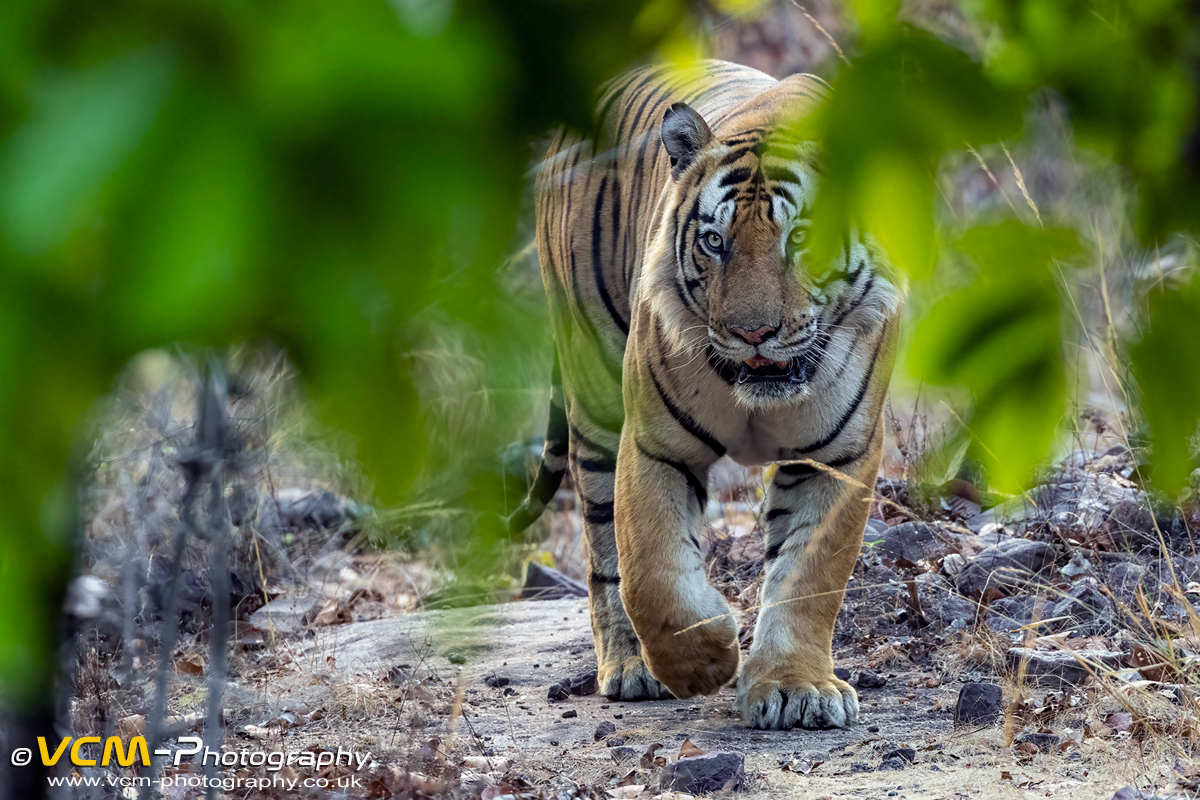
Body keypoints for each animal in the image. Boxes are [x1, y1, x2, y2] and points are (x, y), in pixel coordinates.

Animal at [507, 59, 904, 730]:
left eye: (802, 239)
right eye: (715, 242)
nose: (753, 332)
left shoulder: (839, 456)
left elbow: (808, 576)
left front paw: (796, 687)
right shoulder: (654, 444)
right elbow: (652, 574)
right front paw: (703, 661)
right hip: (593, 397)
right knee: (602, 553)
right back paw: (631, 667)